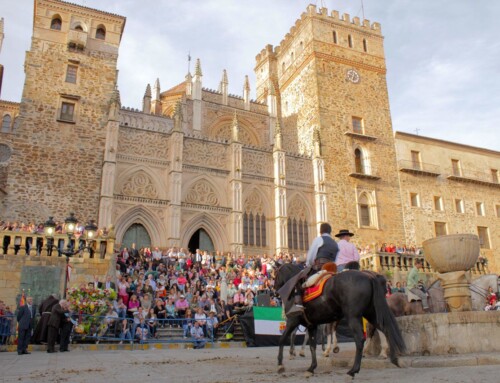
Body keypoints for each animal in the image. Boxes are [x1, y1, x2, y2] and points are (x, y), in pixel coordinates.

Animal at [274, 264, 406, 378]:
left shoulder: (292, 321)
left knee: (360, 339)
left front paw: (280, 365)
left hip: (353, 317)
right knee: (385, 330)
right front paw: (311, 368)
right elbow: (312, 346)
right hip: (371, 314)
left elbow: (282, 339)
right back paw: (393, 358)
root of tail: (369, 277)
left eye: (276, 274)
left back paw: (353, 370)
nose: (275, 291)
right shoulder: (312, 326)